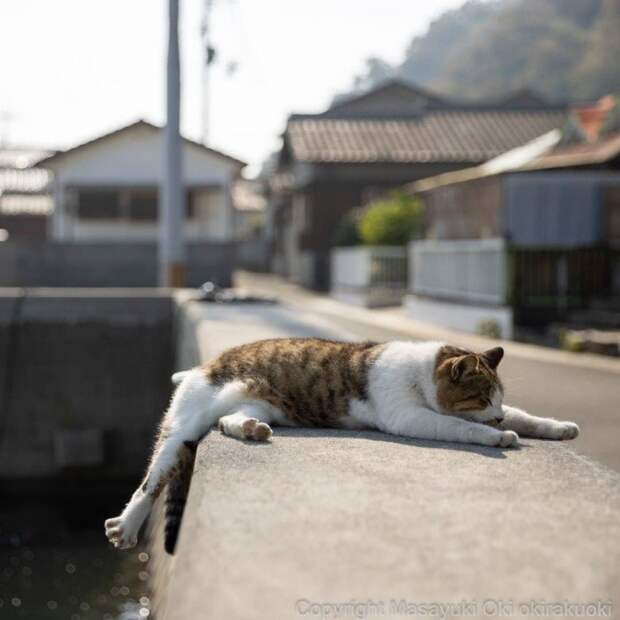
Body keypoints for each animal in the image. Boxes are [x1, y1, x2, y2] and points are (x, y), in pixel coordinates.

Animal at [103, 340, 580, 552]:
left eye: (497, 397)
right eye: (481, 397)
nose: (494, 416)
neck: (421, 372)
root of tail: (204, 364)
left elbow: (525, 416)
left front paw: (555, 427)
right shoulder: (410, 417)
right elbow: (460, 428)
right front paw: (496, 435)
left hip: (256, 403)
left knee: (229, 421)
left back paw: (253, 429)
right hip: (184, 427)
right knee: (152, 480)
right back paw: (126, 525)